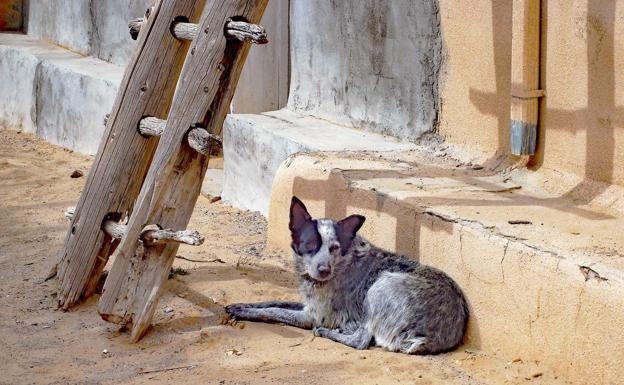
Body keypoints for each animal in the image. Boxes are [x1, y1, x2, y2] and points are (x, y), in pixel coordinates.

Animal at [224, 196, 468, 352]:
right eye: (310, 245)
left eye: (334, 247)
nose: (324, 270)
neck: (342, 262)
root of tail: (429, 339)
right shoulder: (309, 304)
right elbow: (272, 302)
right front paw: (241, 306)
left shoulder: (312, 316)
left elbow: (273, 311)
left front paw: (245, 312)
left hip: (379, 287)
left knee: (361, 341)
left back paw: (329, 332)